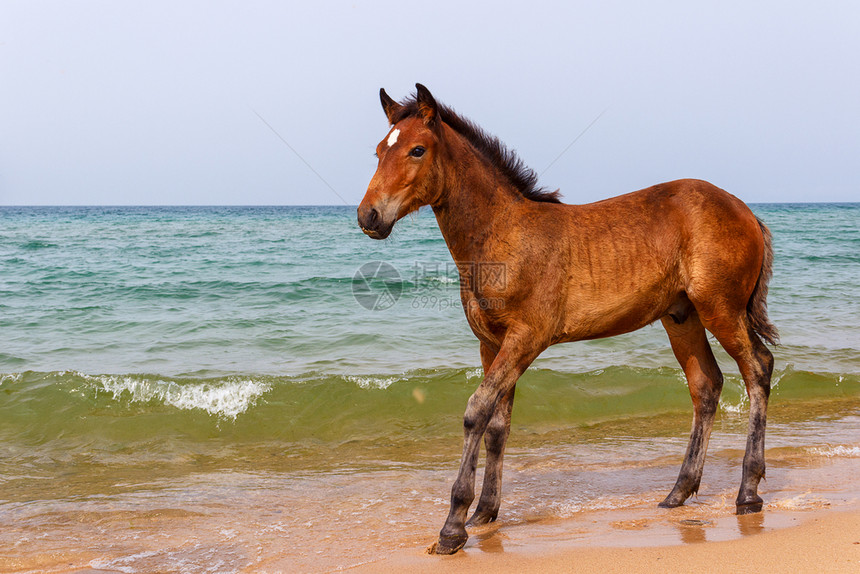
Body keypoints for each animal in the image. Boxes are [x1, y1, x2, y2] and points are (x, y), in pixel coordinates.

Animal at [356, 83, 780, 556]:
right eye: (379, 150)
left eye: (417, 150)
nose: (368, 216)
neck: (505, 235)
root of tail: (746, 210)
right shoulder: (491, 343)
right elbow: (498, 424)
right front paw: (485, 512)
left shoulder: (526, 337)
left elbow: (476, 411)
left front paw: (453, 527)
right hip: (682, 317)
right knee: (706, 385)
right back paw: (678, 492)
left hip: (721, 309)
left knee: (758, 368)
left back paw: (748, 492)